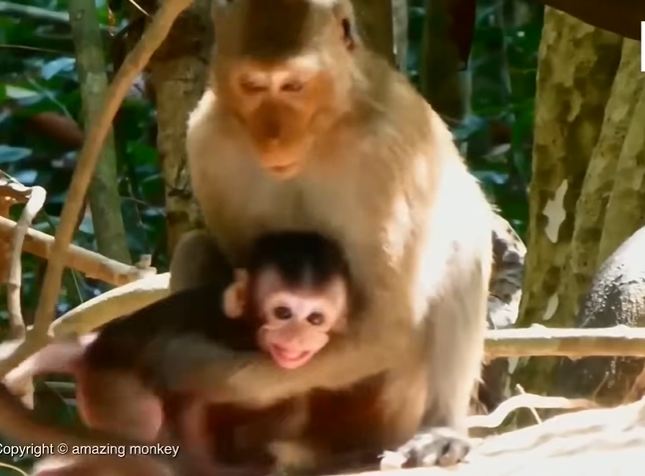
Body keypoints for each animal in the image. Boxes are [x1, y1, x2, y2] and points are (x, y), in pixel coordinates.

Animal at [160, 0, 494, 470]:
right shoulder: (207, 138)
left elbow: (391, 321)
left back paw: (440, 430)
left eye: (294, 86)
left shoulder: (386, 156)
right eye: (253, 86)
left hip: (389, 409)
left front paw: (216, 377)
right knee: (195, 247)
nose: (275, 137)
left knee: (464, 242)